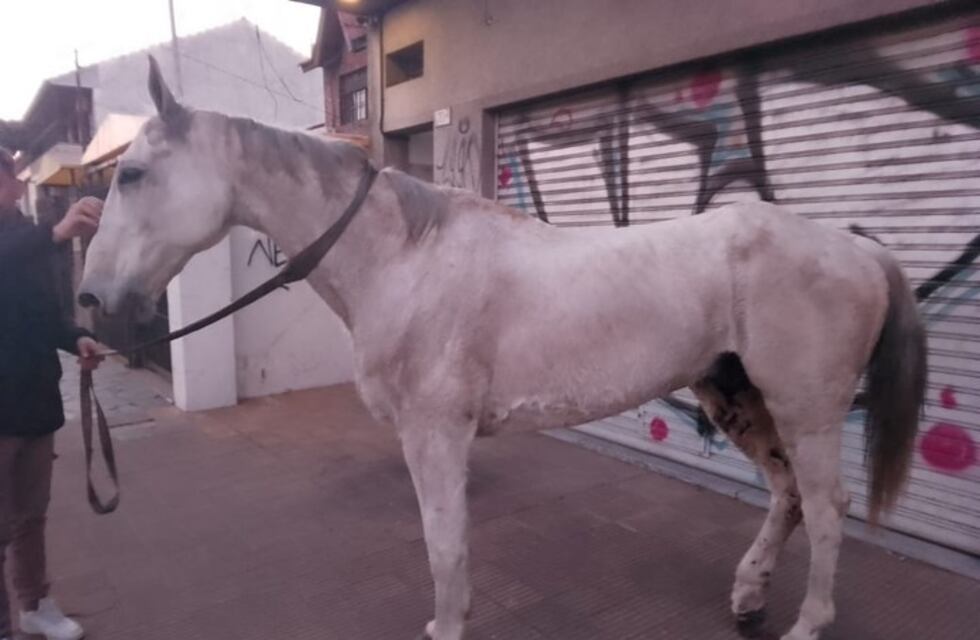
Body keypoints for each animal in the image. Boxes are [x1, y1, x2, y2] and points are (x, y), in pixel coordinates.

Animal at [79, 58, 927, 640]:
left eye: (133, 174)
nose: (91, 303)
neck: (405, 257)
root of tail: (857, 246)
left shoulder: (435, 435)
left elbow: (445, 546)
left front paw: (447, 625)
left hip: (805, 409)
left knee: (826, 507)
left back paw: (807, 621)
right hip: (738, 397)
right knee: (787, 497)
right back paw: (749, 598)